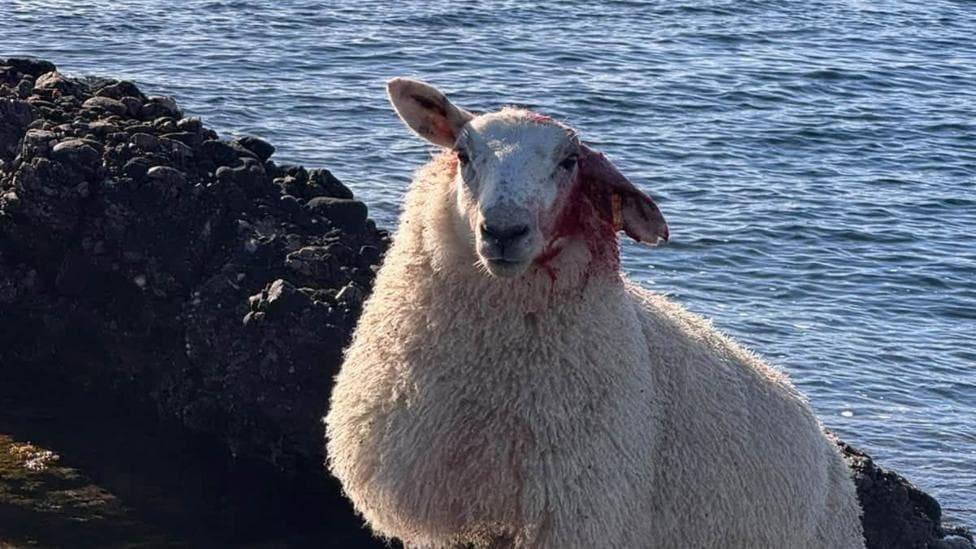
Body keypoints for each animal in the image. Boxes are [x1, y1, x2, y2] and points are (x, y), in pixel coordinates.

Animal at [325, 78, 865, 549]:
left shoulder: (574, 514)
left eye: (569, 162)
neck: (490, 379)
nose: (504, 231)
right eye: (463, 154)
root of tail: (828, 446)